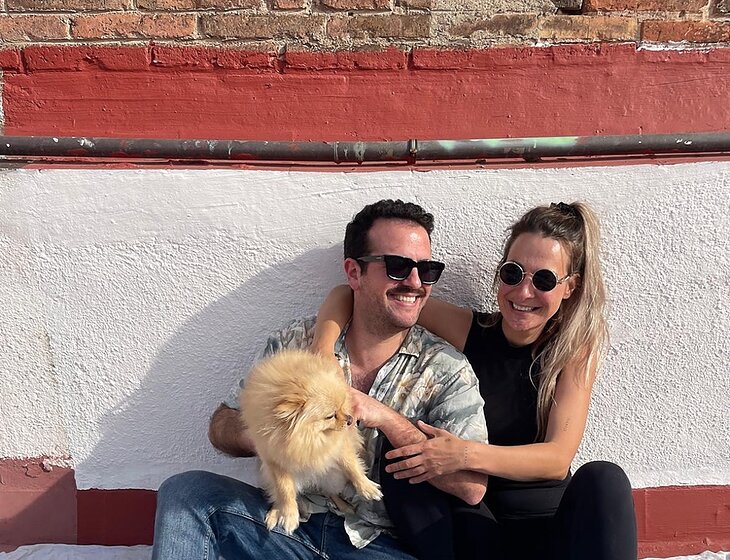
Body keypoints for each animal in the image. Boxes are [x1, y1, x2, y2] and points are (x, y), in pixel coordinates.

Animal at [240, 348, 382, 534]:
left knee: (330, 492)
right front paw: (289, 515)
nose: (350, 420)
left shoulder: (340, 447)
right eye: (330, 416)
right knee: (280, 494)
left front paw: (367, 488)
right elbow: (285, 490)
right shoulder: (274, 461)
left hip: (333, 478)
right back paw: (276, 512)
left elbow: (352, 466)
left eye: (343, 405)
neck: (306, 438)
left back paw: (345, 506)